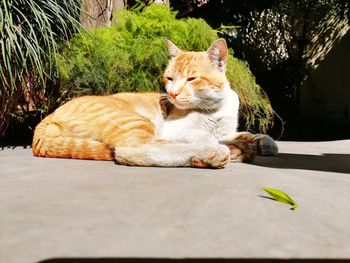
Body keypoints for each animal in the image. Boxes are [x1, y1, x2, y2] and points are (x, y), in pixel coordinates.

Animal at [32, 38, 276, 168]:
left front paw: (264, 142)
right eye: (169, 78)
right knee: (136, 150)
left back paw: (235, 150)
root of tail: (48, 118)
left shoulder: (226, 130)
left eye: (191, 79)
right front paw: (217, 143)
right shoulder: (175, 129)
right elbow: (201, 134)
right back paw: (215, 153)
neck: (213, 108)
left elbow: (245, 132)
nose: (173, 94)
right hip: (136, 122)